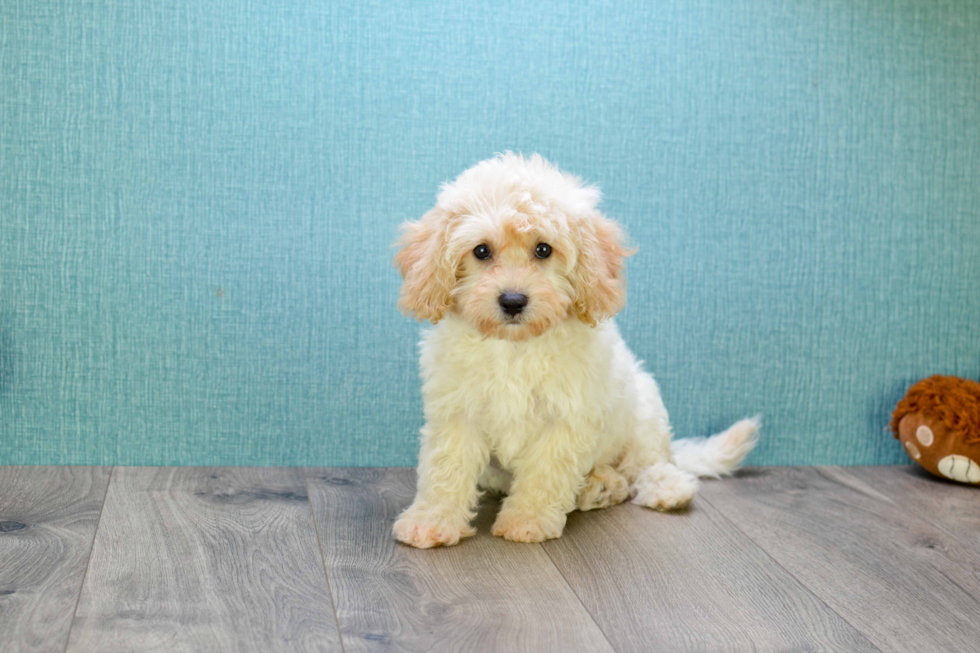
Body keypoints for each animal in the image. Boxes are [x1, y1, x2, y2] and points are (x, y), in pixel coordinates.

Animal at [390, 153, 756, 544]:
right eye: (482, 251)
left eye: (543, 249)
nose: (513, 300)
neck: (515, 347)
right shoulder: (458, 411)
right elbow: (446, 468)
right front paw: (431, 521)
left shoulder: (566, 416)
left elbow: (545, 471)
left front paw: (528, 519)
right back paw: (599, 487)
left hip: (643, 412)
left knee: (649, 463)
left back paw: (660, 488)